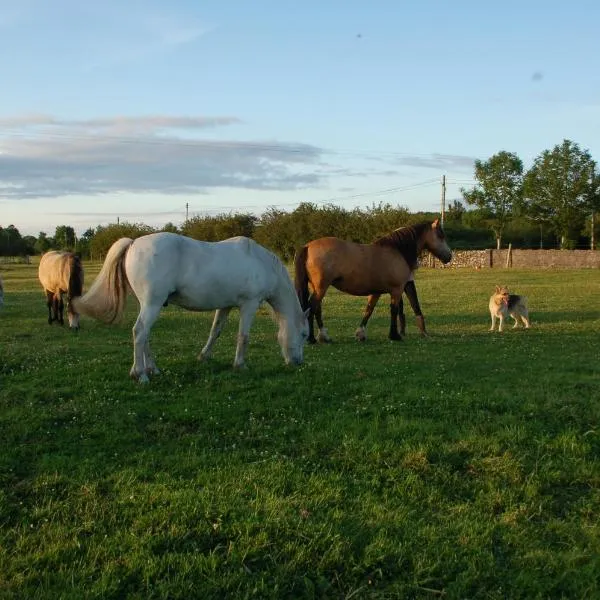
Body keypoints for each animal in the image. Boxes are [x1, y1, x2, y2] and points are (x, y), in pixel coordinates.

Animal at [72, 232, 310, 382]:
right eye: (305, 334)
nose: (298, 362)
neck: (259, 261)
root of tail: (133, 243)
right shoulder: (249, 304)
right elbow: (243, 337)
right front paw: (240, 365)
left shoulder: (225, 306)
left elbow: (215, 331)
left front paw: (204, 356)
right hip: (152, 304)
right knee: (139, 332)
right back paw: (141, 374)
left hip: (148, 305)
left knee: (144, 335)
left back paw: (152, 369)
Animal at [292, 219, 452, 342]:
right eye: (441, 236)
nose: (449, 256)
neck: (396, 251)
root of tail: (307, 246)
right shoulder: (397, 290)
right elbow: (394, 310)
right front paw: (394, 335)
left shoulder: (376, 292)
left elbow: (369, 310)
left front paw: (361, 334)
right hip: (321, 287)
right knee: (311, 307)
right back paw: (312, 339)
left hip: (317, 287)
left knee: (316, 308)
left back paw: (324, 336)